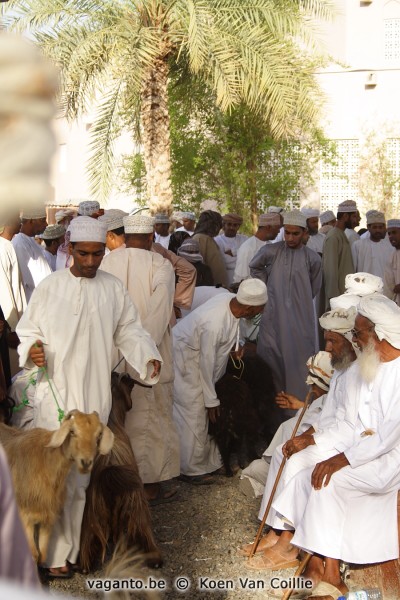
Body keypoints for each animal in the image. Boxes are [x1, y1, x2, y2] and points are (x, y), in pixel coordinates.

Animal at [0, 408, 114, 564]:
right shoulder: (24, 516)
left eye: (98, 435)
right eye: (72, 431)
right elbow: (33, 555)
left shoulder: (47, 518)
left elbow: (41, 555)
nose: (85, 463)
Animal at [79, 372, 162, 576]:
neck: (113, 421)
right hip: (137, 505)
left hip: (91, 512)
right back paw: (155, 558)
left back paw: (85, 565)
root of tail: (109, 473)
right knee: (143, 531)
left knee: (89, 537)